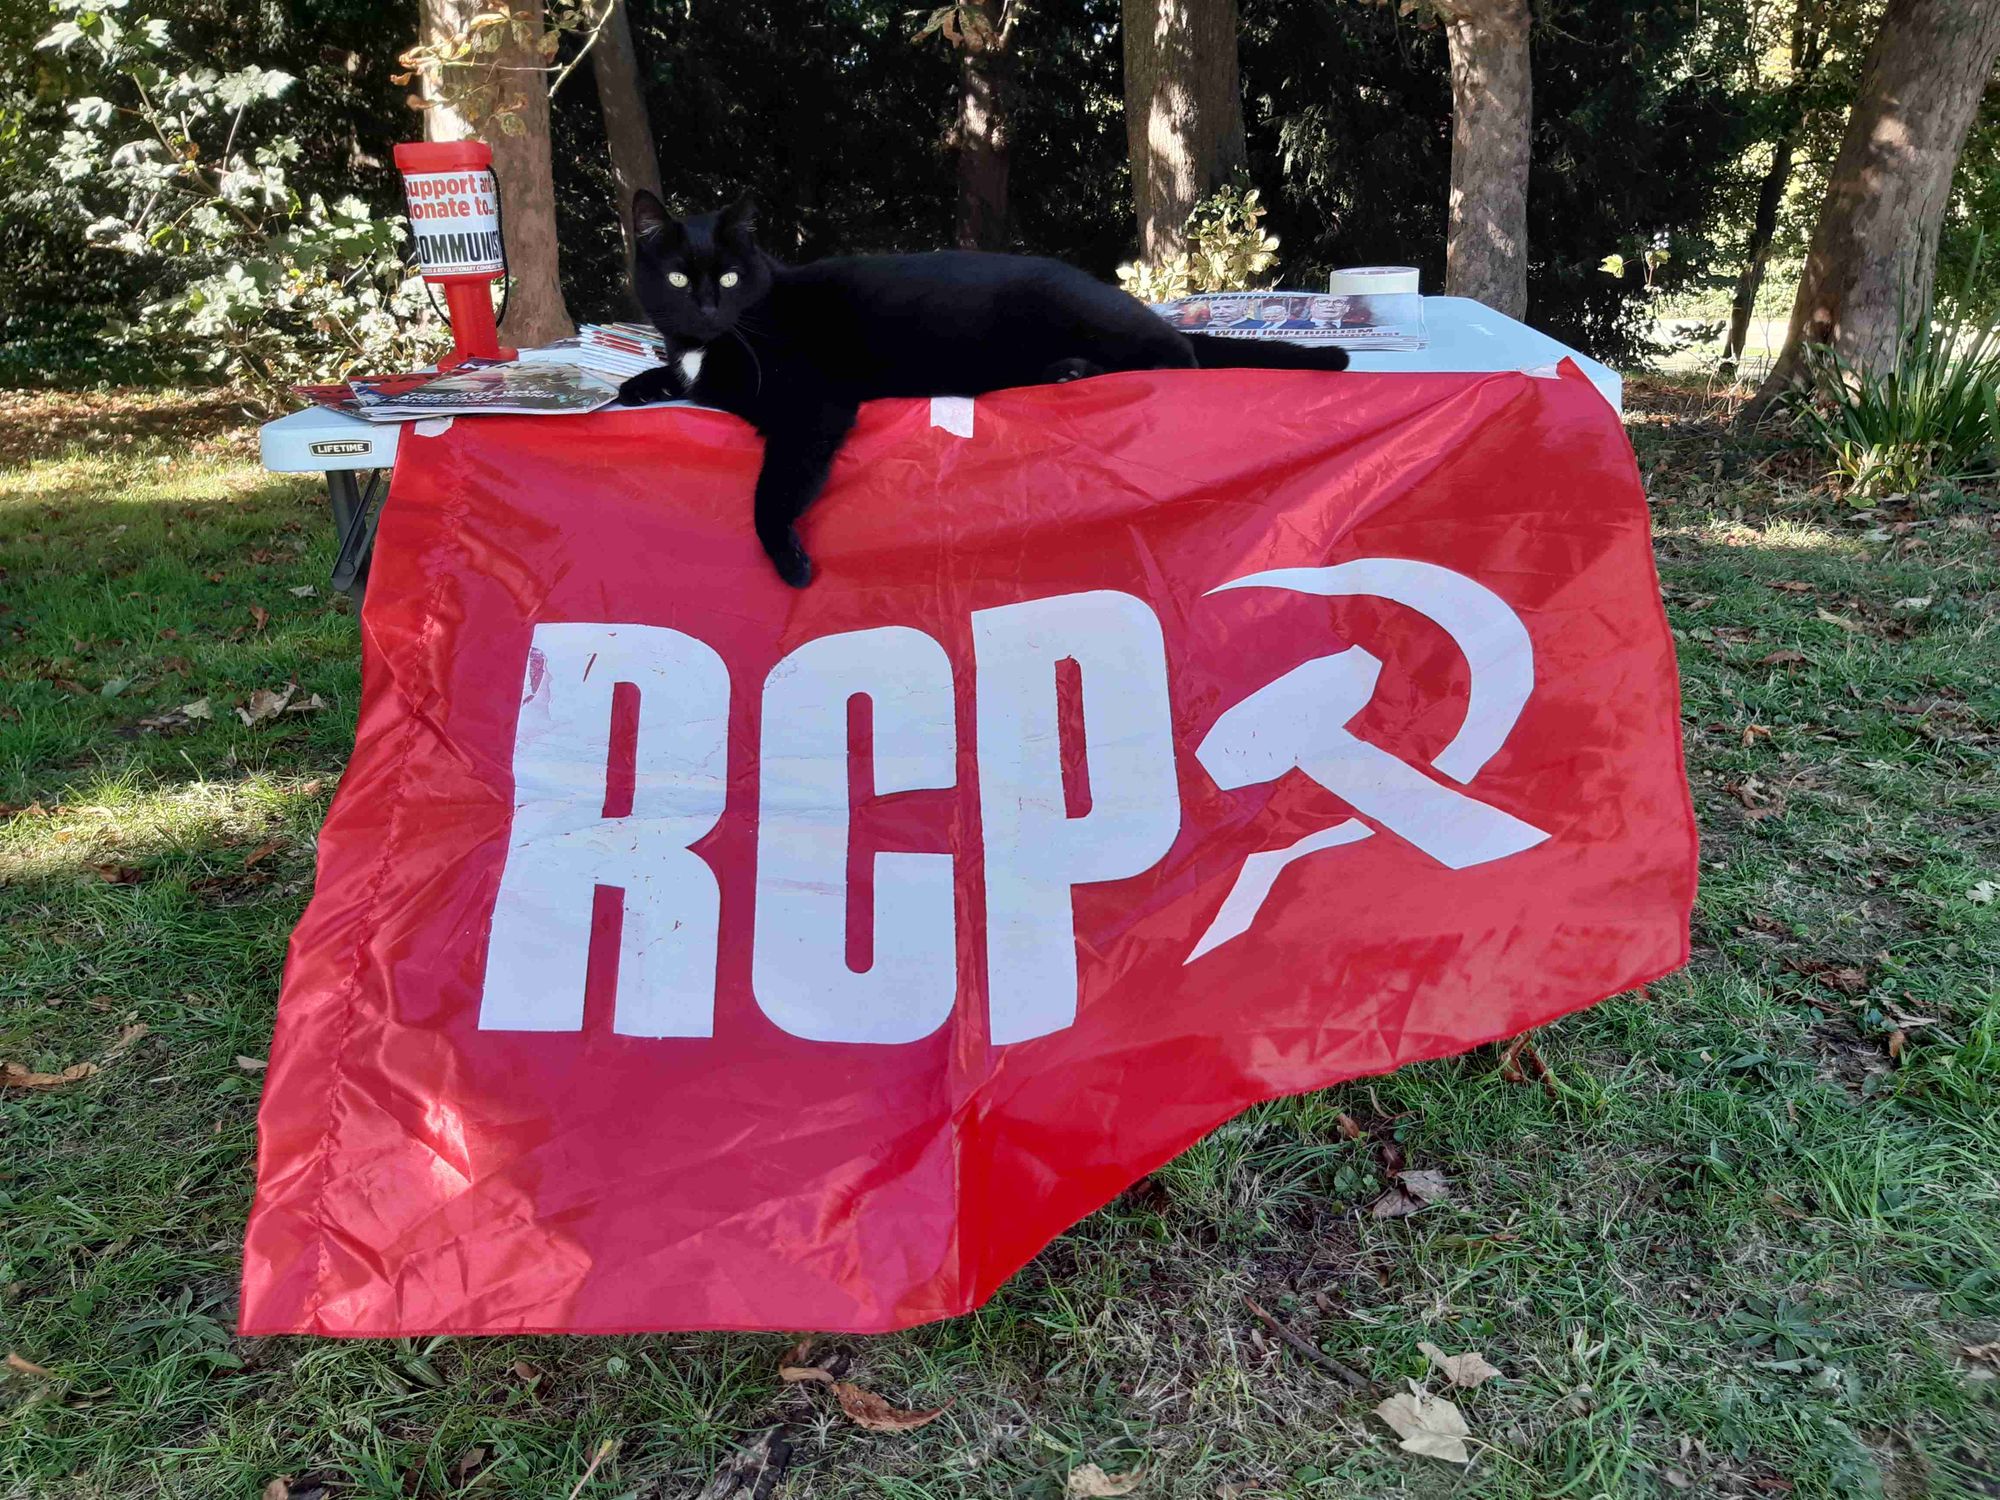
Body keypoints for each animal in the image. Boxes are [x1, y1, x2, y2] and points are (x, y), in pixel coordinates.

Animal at [616, 198, 1352, 592]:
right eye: (678, 278)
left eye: (731, 277)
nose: (707, 306)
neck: (718, 339)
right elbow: (672, 377)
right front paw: (636, 383)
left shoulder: (811, 406)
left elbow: (771, 493)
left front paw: (788, 561)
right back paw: (1068, 373)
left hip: (1089, 316)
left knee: (1182, 357)